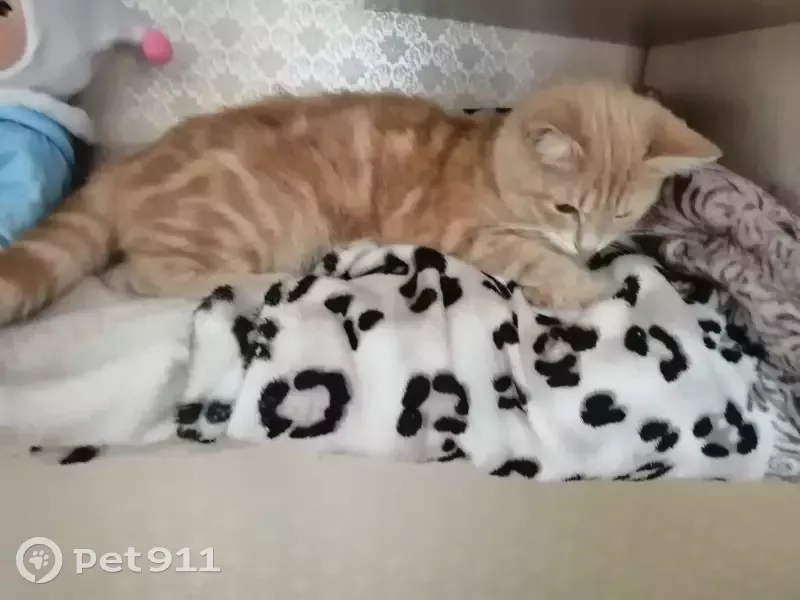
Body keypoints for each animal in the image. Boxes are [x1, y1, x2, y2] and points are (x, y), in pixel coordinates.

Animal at [0, 79, 720, 325]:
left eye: (621, 213)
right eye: (566, 209)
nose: (588, 242)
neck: (487, 162)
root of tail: (125, 166)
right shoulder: (458, 229)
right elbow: (533, 257)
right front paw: (581, 283)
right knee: (145, 275)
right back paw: (260, 282)